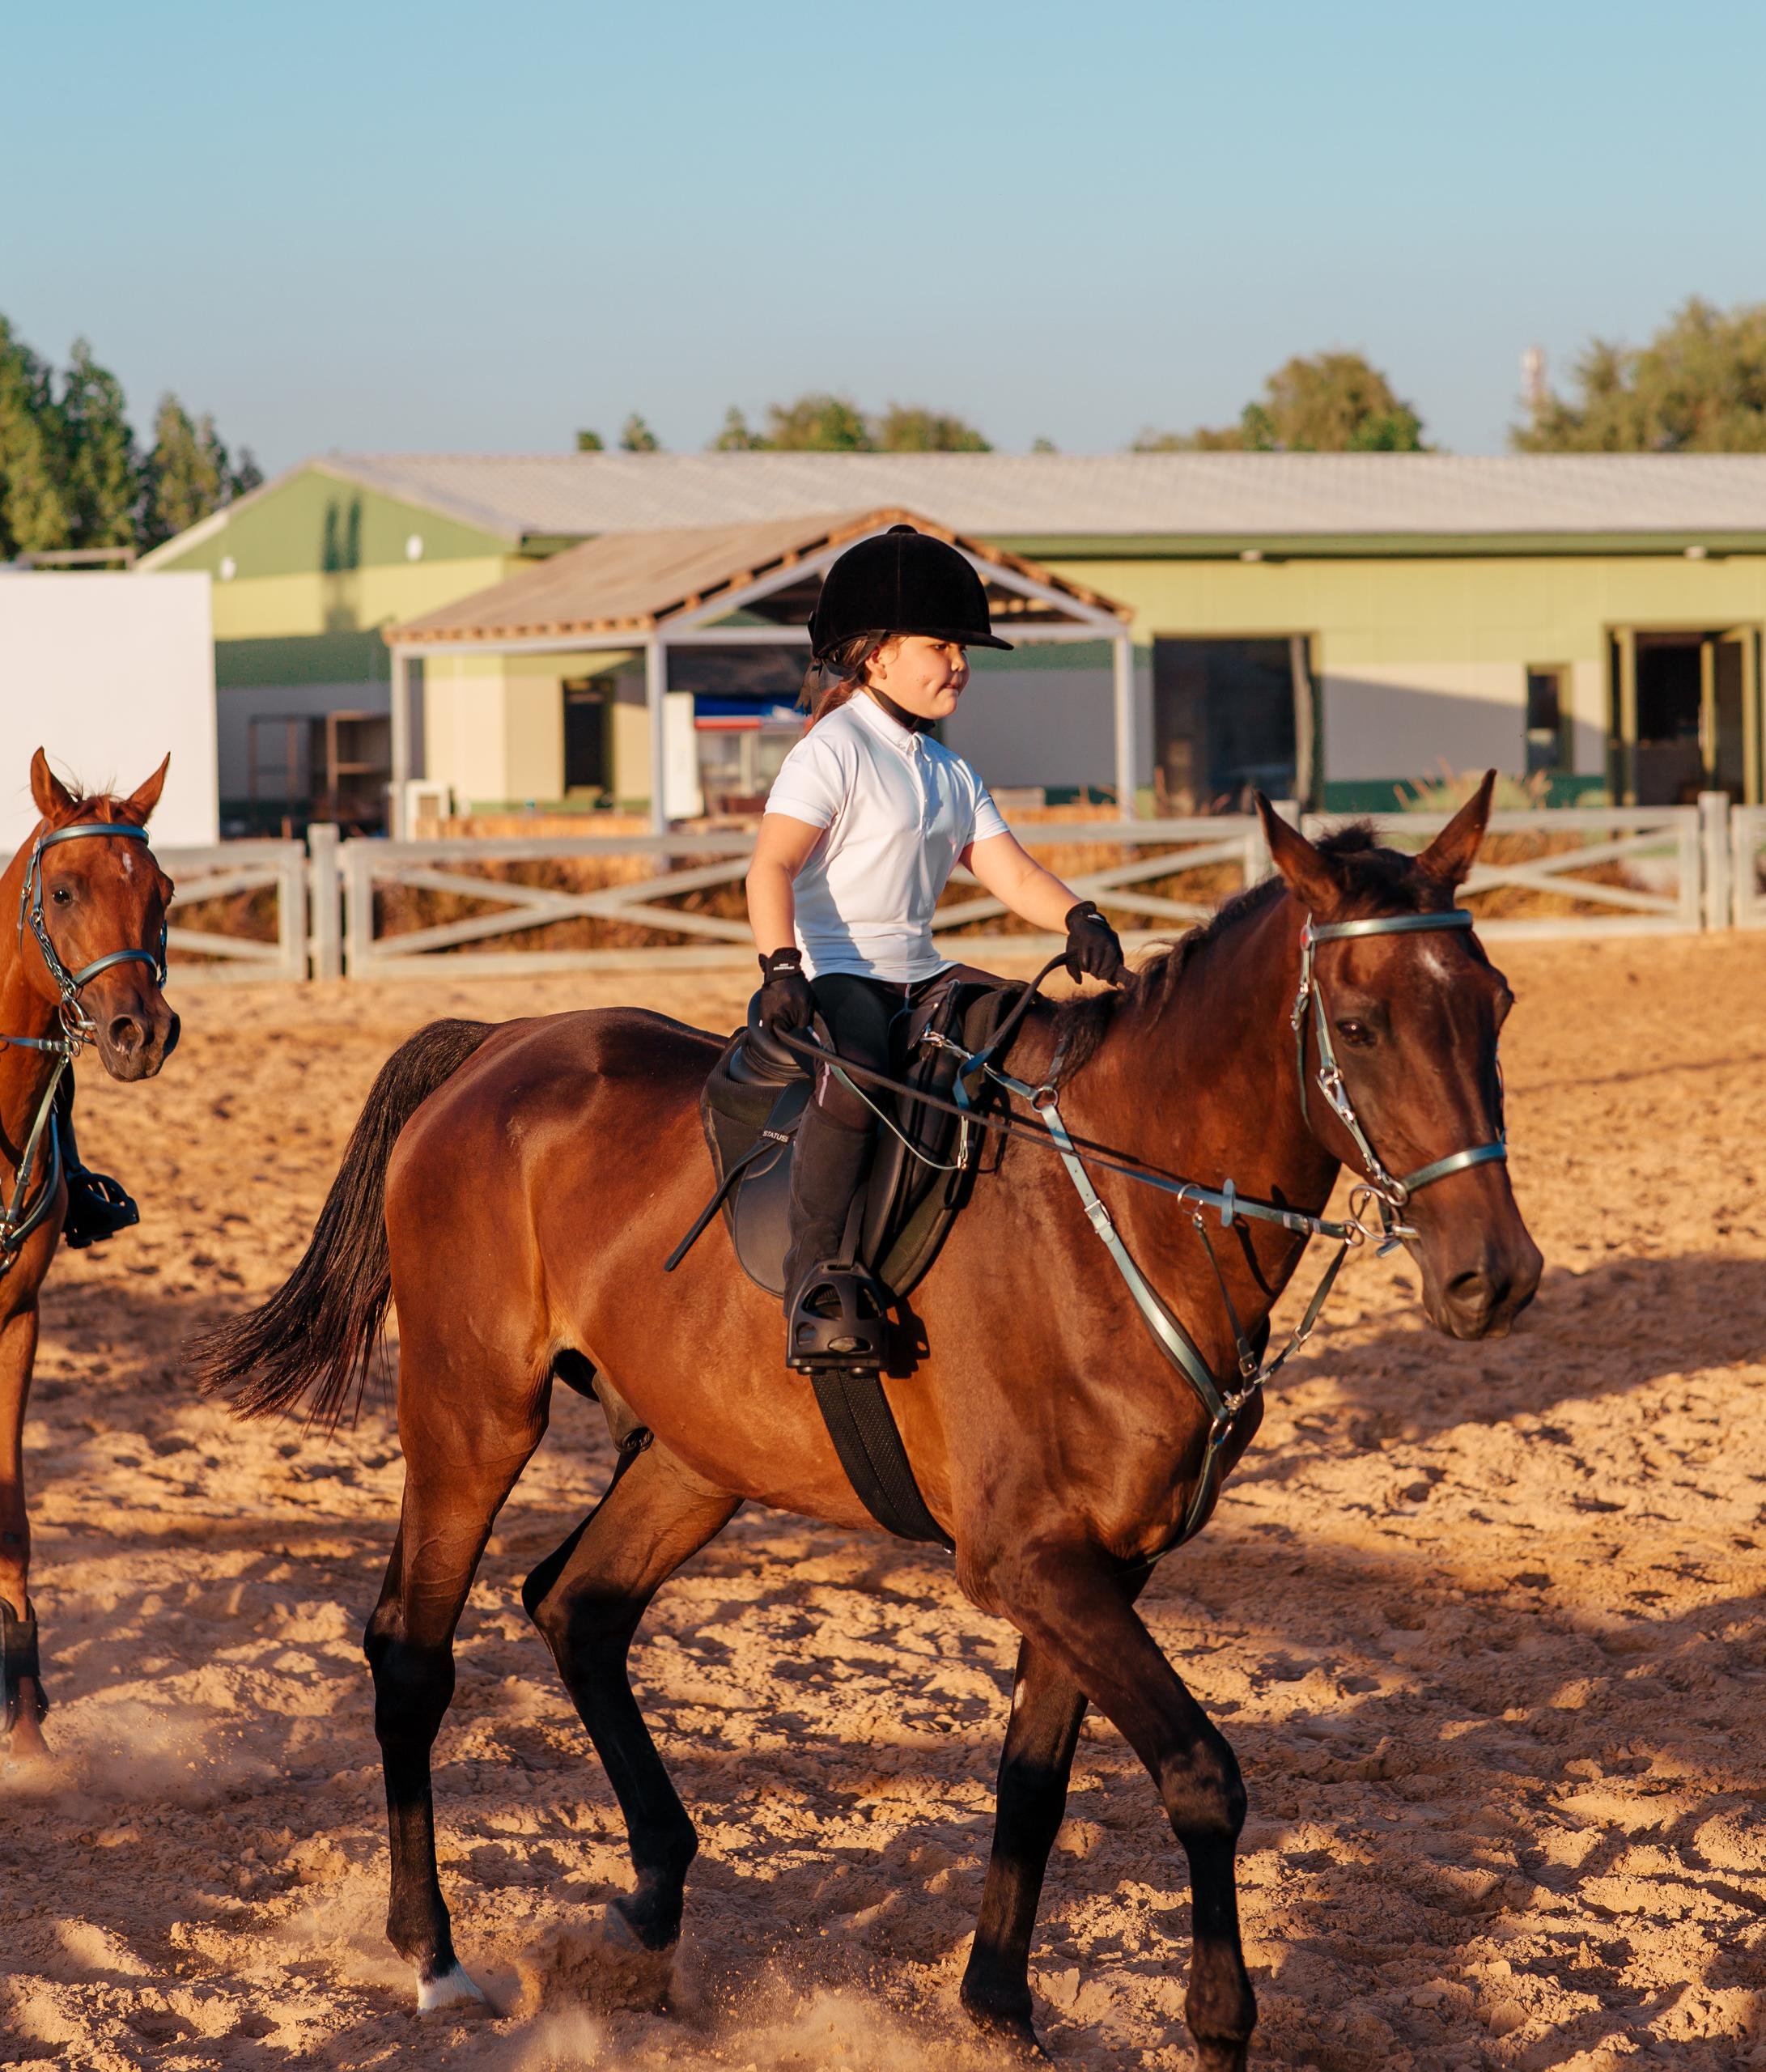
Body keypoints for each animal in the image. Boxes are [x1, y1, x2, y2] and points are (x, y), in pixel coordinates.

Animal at [197, 779, 1539, 2068]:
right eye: (1357, 1027)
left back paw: (649, 1904)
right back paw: (433, 1954)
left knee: (578, 1607)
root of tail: (497, 1048)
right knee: (412, 1653)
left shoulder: (1098, 1568)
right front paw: (1215, 2022)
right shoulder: (1026, 1561)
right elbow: (1200, 1773)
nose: (1496, 1277)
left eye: (1497, 1005)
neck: (1122, 1210)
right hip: (474, 1415)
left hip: (692, 1459)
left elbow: (1033, 1780)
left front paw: (996, 2010)